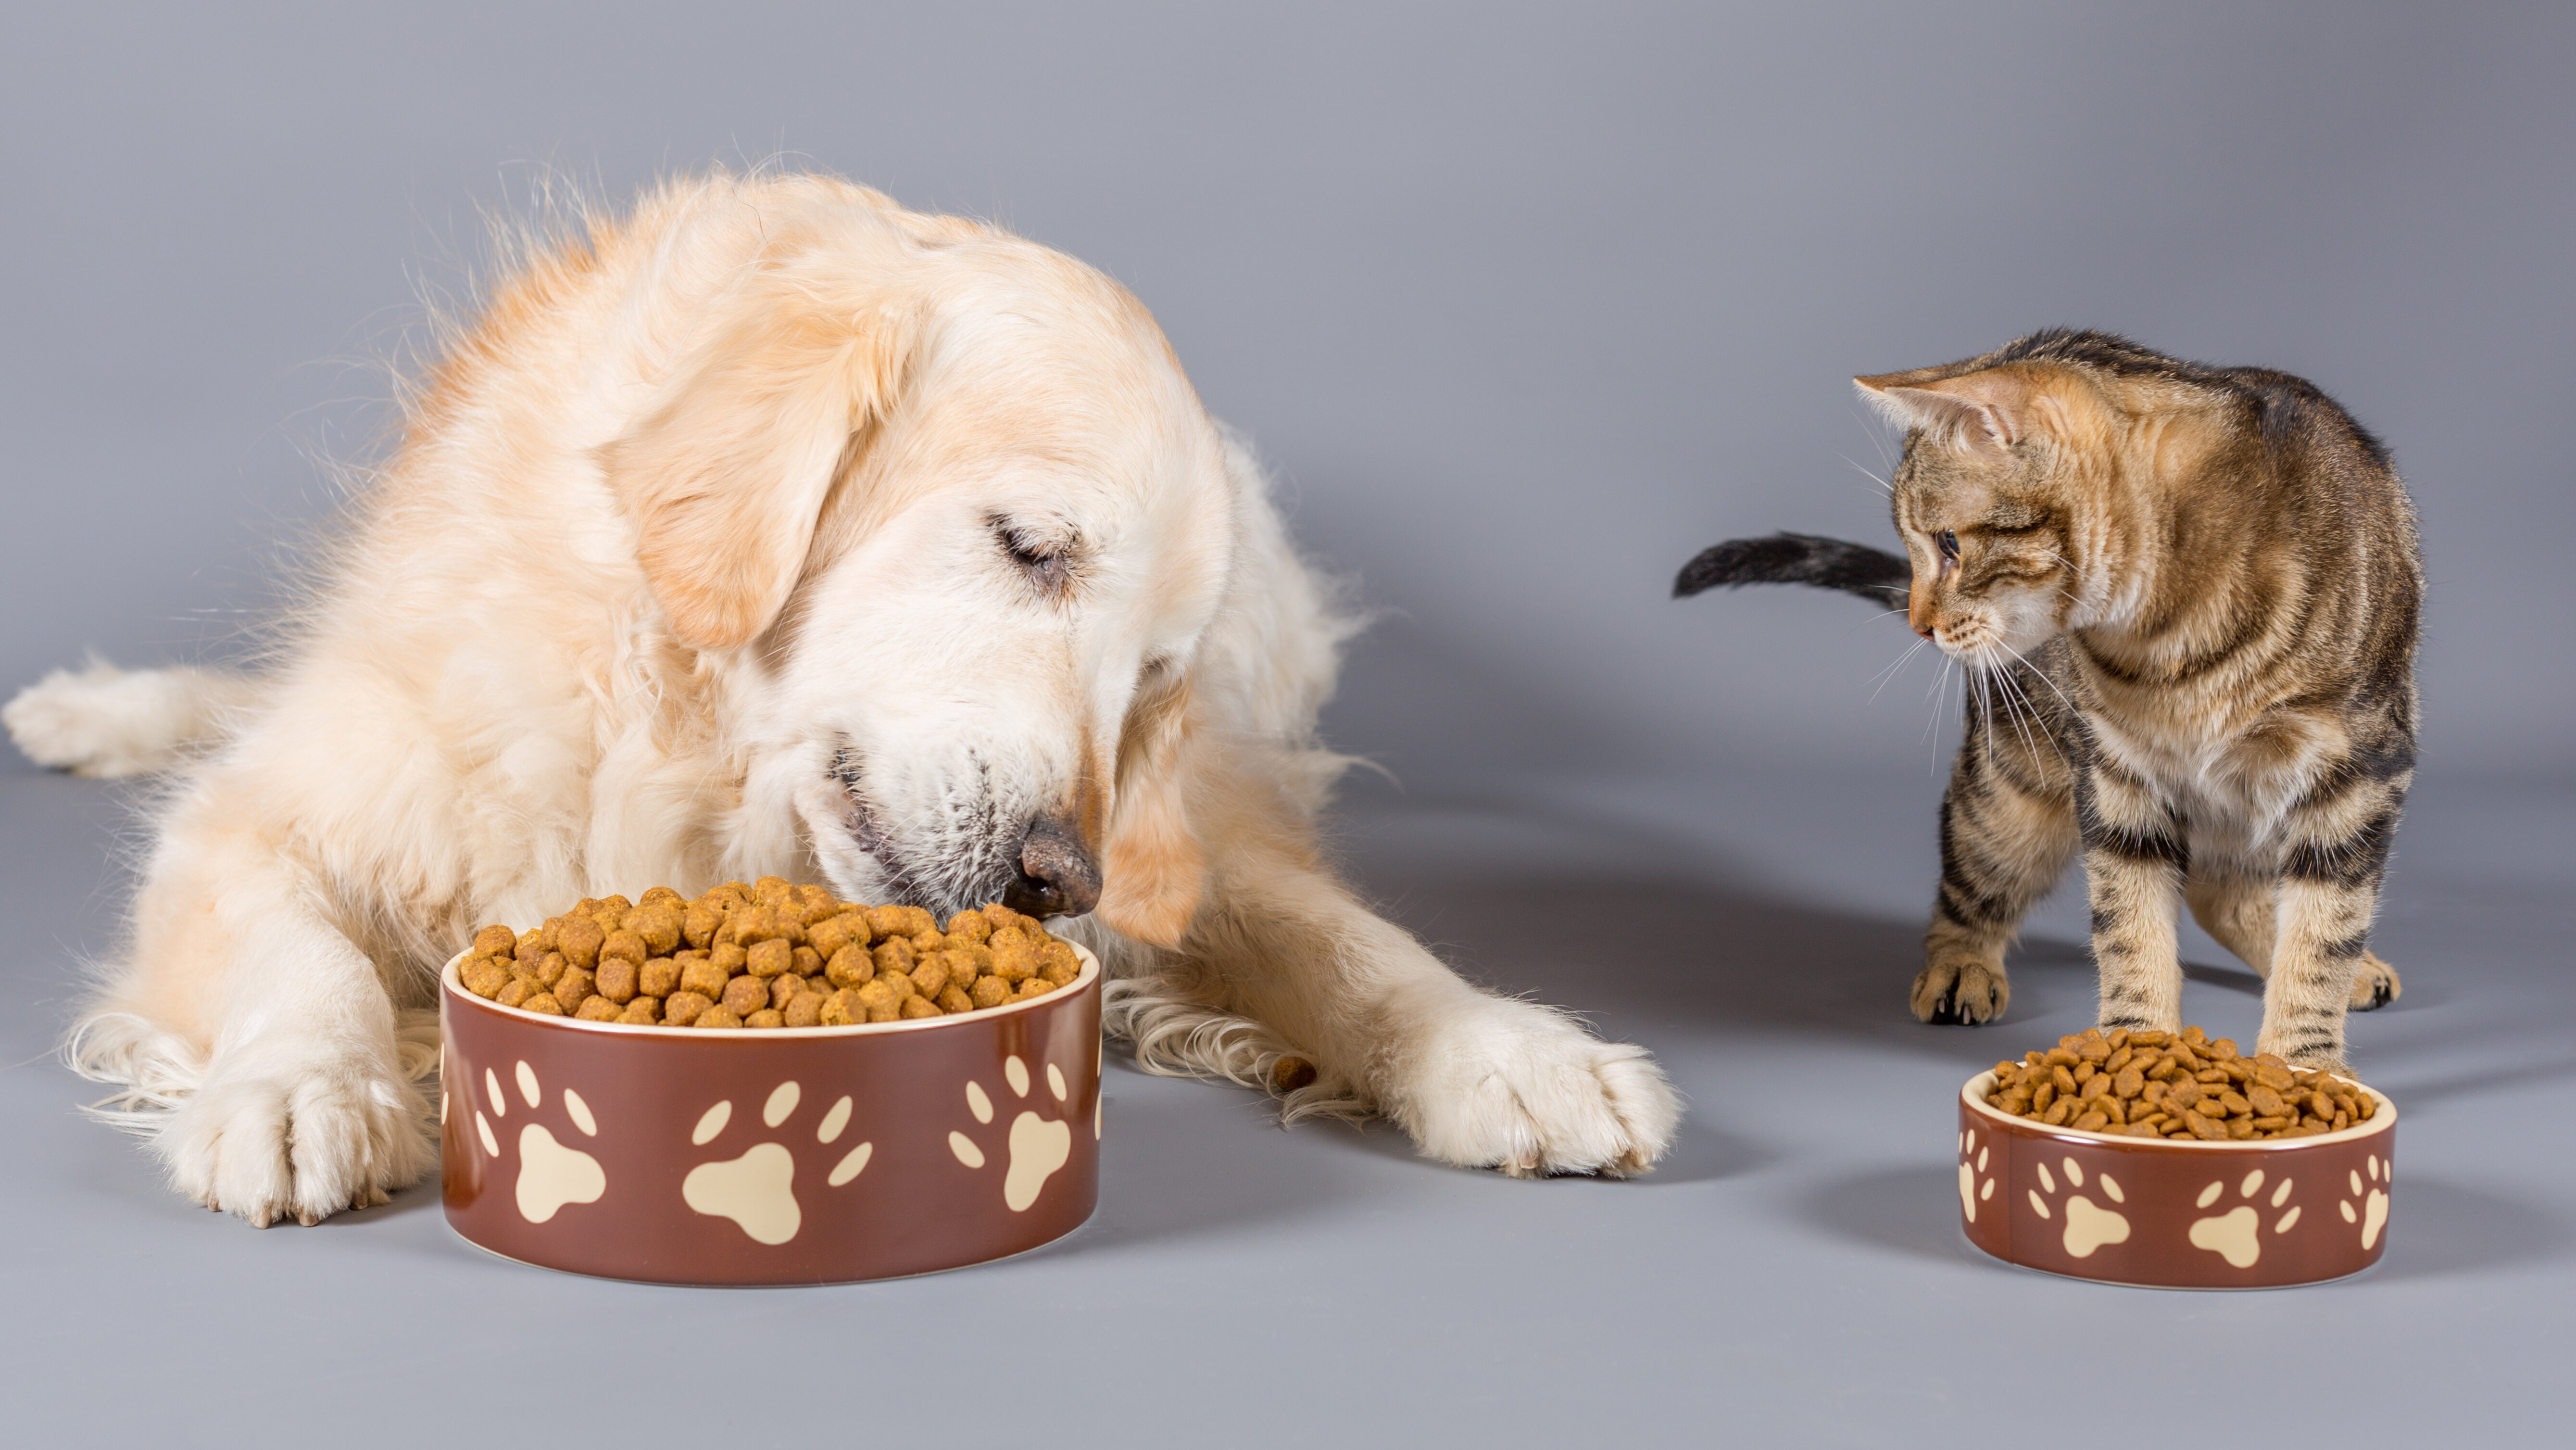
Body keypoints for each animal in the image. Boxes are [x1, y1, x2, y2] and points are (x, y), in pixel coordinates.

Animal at [5, 176, 1690, 1231]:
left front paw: (1511, 1052)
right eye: (1031, 545)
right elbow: (302, 948)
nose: (1060, 877)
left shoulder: (1190, 834)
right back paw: (92, 711)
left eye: (1155, 676)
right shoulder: (274, 814)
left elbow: (1344, 942)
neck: (691, 752)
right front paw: (304, 1088)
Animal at [1679, 335, 2421, 1071]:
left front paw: (2305, 1065)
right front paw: (2135, 1047)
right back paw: (1960, 965)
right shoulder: (2115, 776)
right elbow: (2130, 931)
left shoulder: (2358, 775)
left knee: (2233, 893)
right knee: (1976, 880)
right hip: (2008, 792)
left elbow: (2323, 934)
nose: (1920, 623)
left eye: (1948, 544)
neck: (2172, 635)